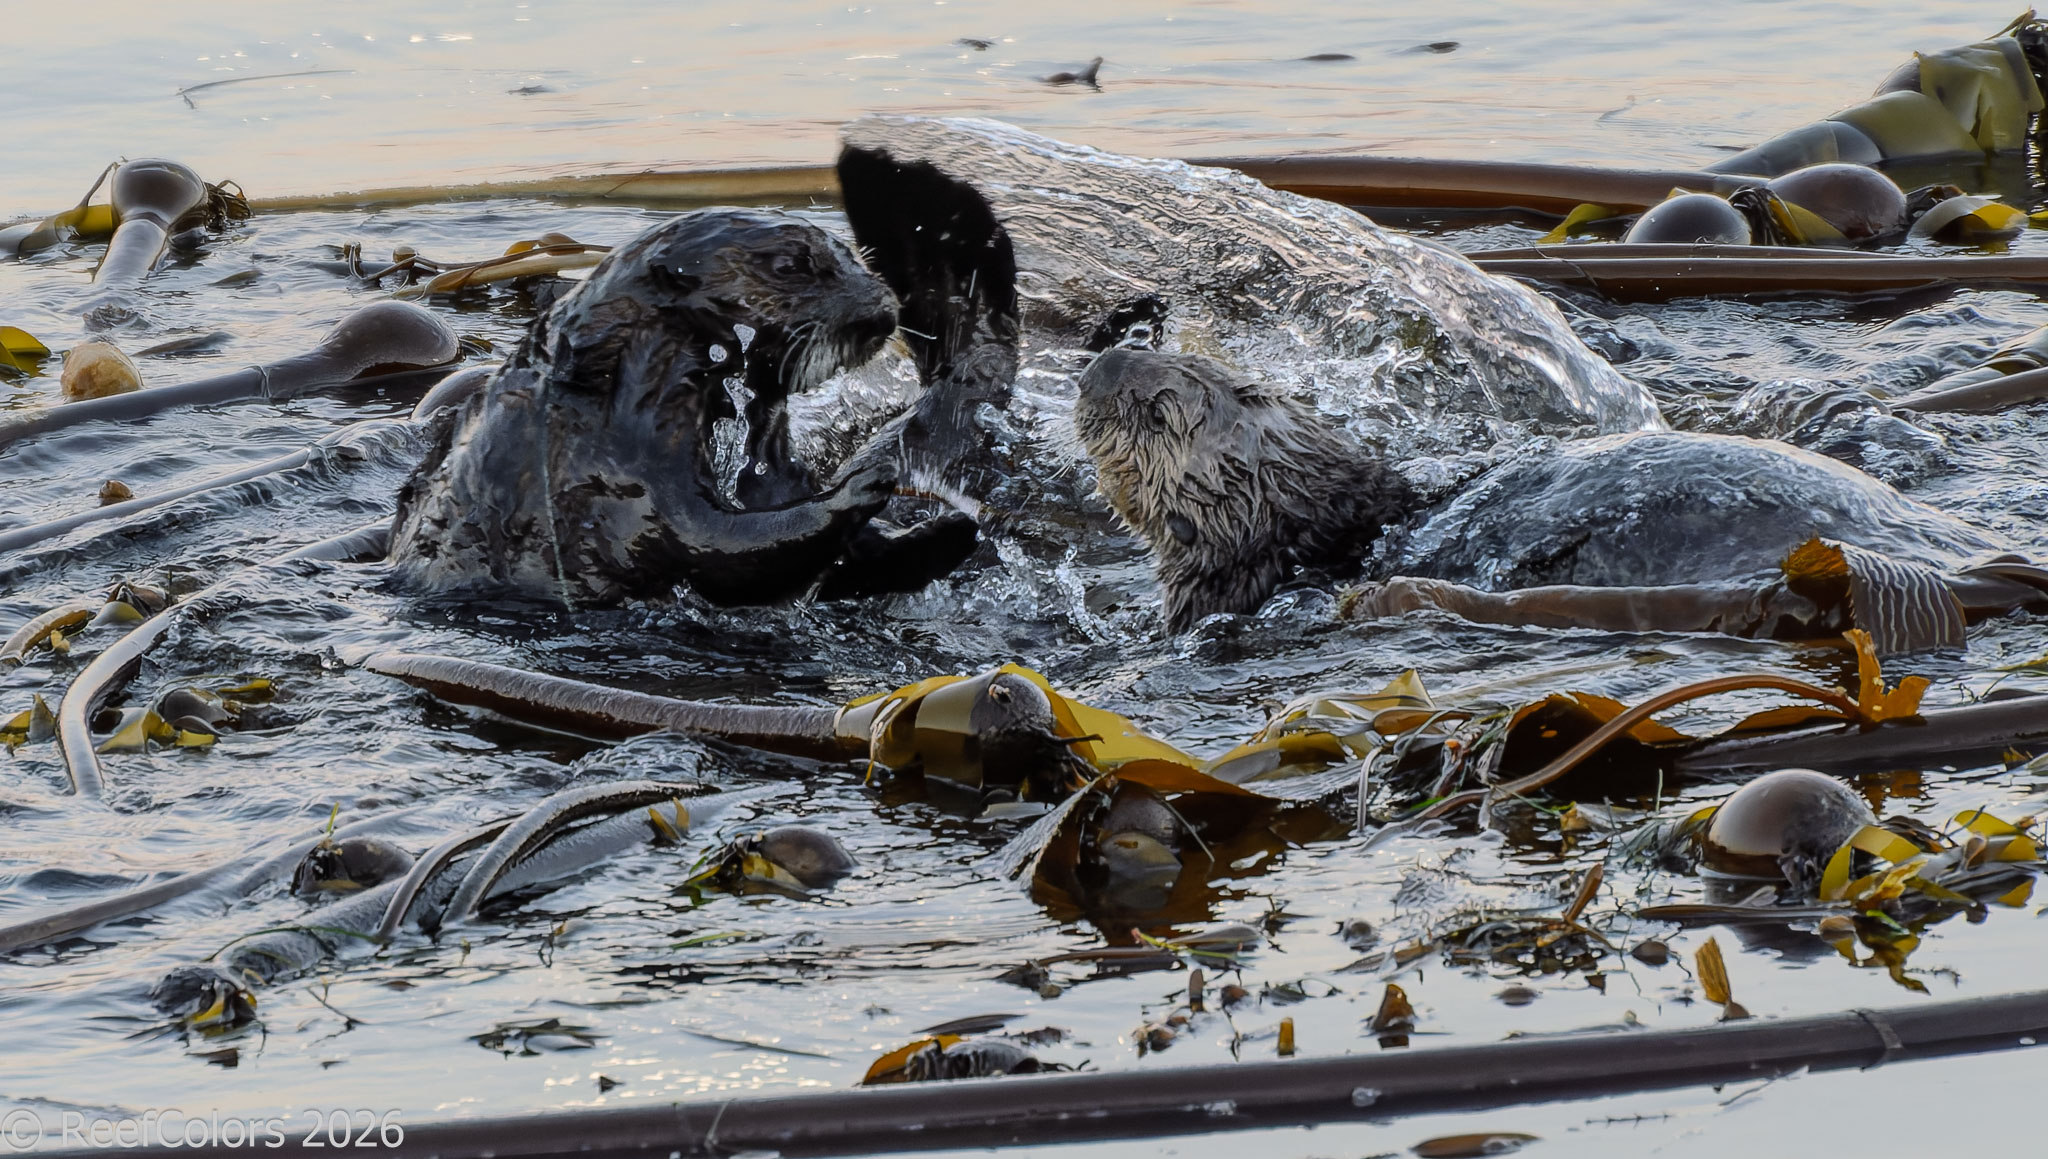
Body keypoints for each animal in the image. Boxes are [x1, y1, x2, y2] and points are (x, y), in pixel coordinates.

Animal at [388, 207, 978, 607]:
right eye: (789, 266)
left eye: (855, 255)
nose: (883, 314)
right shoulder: (624, 485)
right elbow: (723, 548)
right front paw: (868, 481)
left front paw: (944, 528)